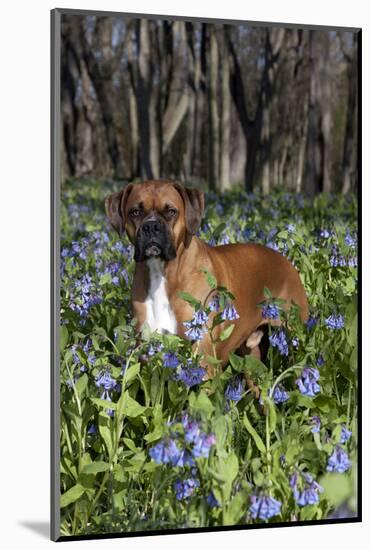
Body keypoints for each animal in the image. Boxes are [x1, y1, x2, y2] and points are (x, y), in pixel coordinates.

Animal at [106, 180, 310, 380]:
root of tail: (285, 260)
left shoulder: (203, 364)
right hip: (249, 360)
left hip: (292, 342)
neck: (163, 273)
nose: (151, 226)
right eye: (135, 212)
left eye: (171, 211)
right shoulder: (147, 357)